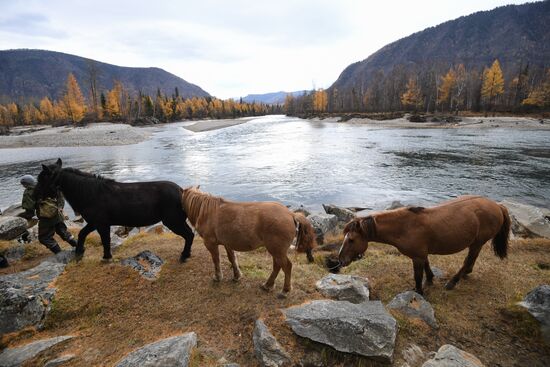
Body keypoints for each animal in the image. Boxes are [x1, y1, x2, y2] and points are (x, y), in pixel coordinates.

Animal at [34, 159, 194, 262]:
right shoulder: (94, 223)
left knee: (189, 235)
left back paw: (184, 255)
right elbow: (82, 233)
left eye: (42, 179)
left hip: (173, 221)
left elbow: (105, 240)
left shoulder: (101, 224)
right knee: (190, 235)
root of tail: (181, 191)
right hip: (177, 221)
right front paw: (79, 252)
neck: (90, 193)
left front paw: (106, 257)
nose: (35, 196)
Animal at [182, 188, 316, 298]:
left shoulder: (210, 244)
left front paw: (218, 277)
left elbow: (216, 260)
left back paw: (285, 290)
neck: (208, 212)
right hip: (276, 250)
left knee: (286, 266)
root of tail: (291, 214)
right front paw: (236, 276)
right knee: (277, 266)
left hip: (276, 250)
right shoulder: (228, 243)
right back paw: (268, 285)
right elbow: (232, 259)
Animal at [338, 196, 516, 296]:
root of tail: (498, 206)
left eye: (351, 240)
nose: (340, 260)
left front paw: (419, 292)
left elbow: (417, 276)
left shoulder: (417, 256)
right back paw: (465, 275)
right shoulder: (422, 254)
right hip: (476, 243)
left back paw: (453, 282)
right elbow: (427, 265)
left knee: (468, 260)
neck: (405, 226)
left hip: (478, 242)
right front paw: (430, 280)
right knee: (471, 260)